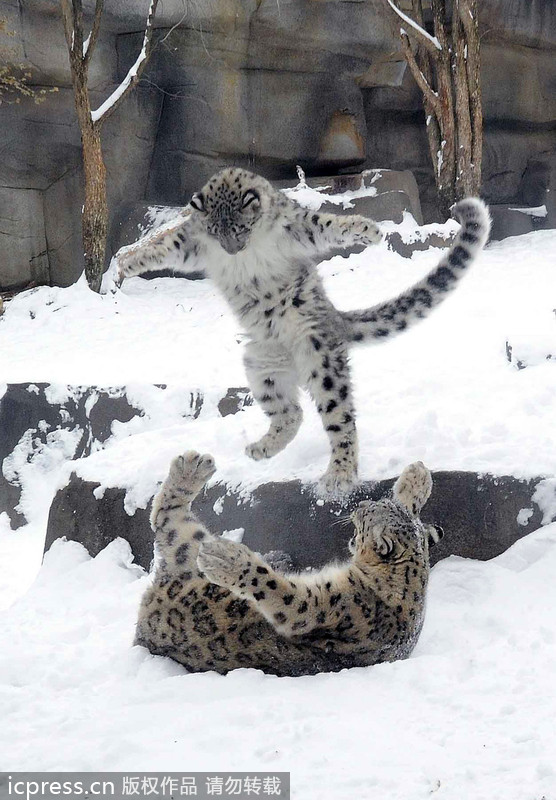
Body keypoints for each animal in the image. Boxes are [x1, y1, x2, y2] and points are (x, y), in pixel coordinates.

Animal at [117, 167, 491, 497]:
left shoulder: (295, 225)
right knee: (291, 412)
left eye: (240, 227)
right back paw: (261, 448)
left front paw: (367, 229)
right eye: (216, 230)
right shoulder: (191, 241)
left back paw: (339, 475)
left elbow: (326, 224)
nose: (232, 250)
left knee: (341, 420)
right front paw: (128, 260)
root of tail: (333, 319)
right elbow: (165, 245)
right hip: (261, 365)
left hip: (319, 358)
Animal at [134, 450, 444, 677]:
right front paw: (417, 477)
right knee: (164, 518)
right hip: (185, 550)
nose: (359, 506)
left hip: (187, 549)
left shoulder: (323, 606)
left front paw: (231, 561)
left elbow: (275, 588)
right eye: (377, 505)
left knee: (165, 520)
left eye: (368, 515)